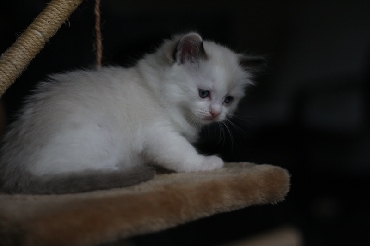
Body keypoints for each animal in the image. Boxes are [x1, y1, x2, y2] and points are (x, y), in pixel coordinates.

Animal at [0, 32, 266, 194]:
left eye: (228, 100)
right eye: (203, 93)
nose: (215, 113)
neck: (158, 93)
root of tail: (12, 167)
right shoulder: (160, 135)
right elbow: (184, 154)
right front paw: (208, 163)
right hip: (101, 136)